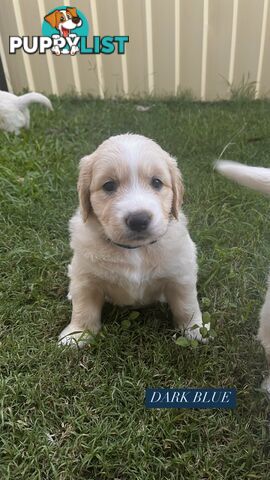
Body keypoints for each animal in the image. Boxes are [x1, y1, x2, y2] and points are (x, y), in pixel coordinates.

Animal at [59, 133, 205, 346]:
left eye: (157, 182)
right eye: (109, 185)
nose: (139, 220)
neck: (135, 250)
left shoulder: (180, 274)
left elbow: (187, 305)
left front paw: (196, 330)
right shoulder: (86, 278)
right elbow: (83, 307)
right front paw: (77, 334)